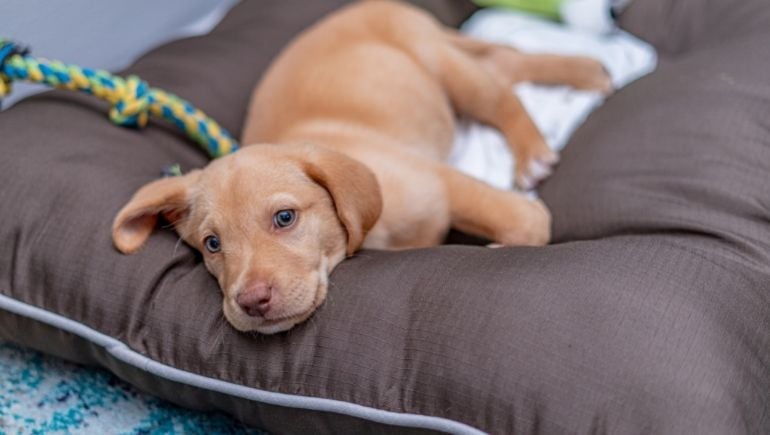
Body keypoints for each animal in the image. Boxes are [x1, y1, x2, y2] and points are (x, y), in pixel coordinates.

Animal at [111, 0, 608, 334]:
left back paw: (544, 133)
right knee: (506, 62)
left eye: (285, 218)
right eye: (212, 244)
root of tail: (365, 6)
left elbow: (526, 223)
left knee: (504, 89)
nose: (252, 301)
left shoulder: (444, 183)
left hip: (445, 65)